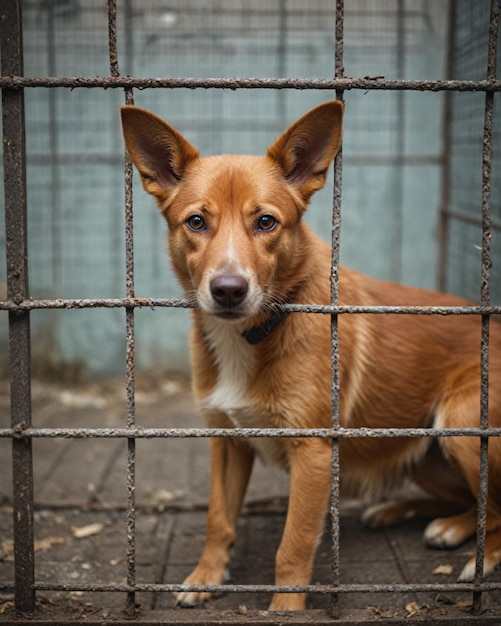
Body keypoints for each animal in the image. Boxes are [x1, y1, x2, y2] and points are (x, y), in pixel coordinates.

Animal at [121, 102, 500, 608]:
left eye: (266, 222)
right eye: (196, 222)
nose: (228, 290)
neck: (253, 334)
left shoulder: (314, 453)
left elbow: (294, 544)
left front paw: (285, 608)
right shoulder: (226, 440)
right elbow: (217, 518)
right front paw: (206, 576)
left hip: (460, 423)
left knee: (495, 509)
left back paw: (477, 553)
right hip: (426, 455)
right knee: (471, 502)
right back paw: (408, 513)